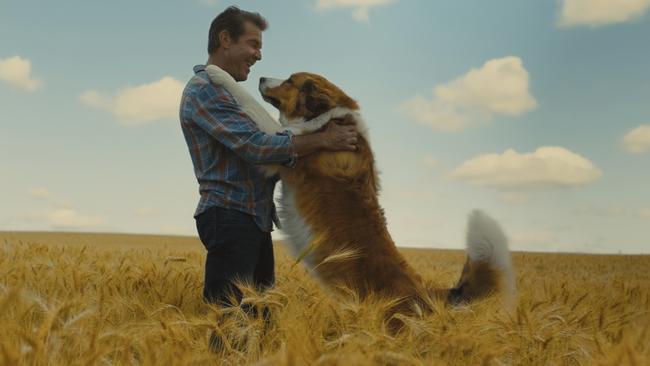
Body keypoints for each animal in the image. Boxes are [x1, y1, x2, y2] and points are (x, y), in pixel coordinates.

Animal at [205, 66, 512, 332]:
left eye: (291, 81)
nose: (260, 77)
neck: (329, 118)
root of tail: (427, 292)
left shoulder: (284, 150)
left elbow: (249, 105)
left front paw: (216, 73)